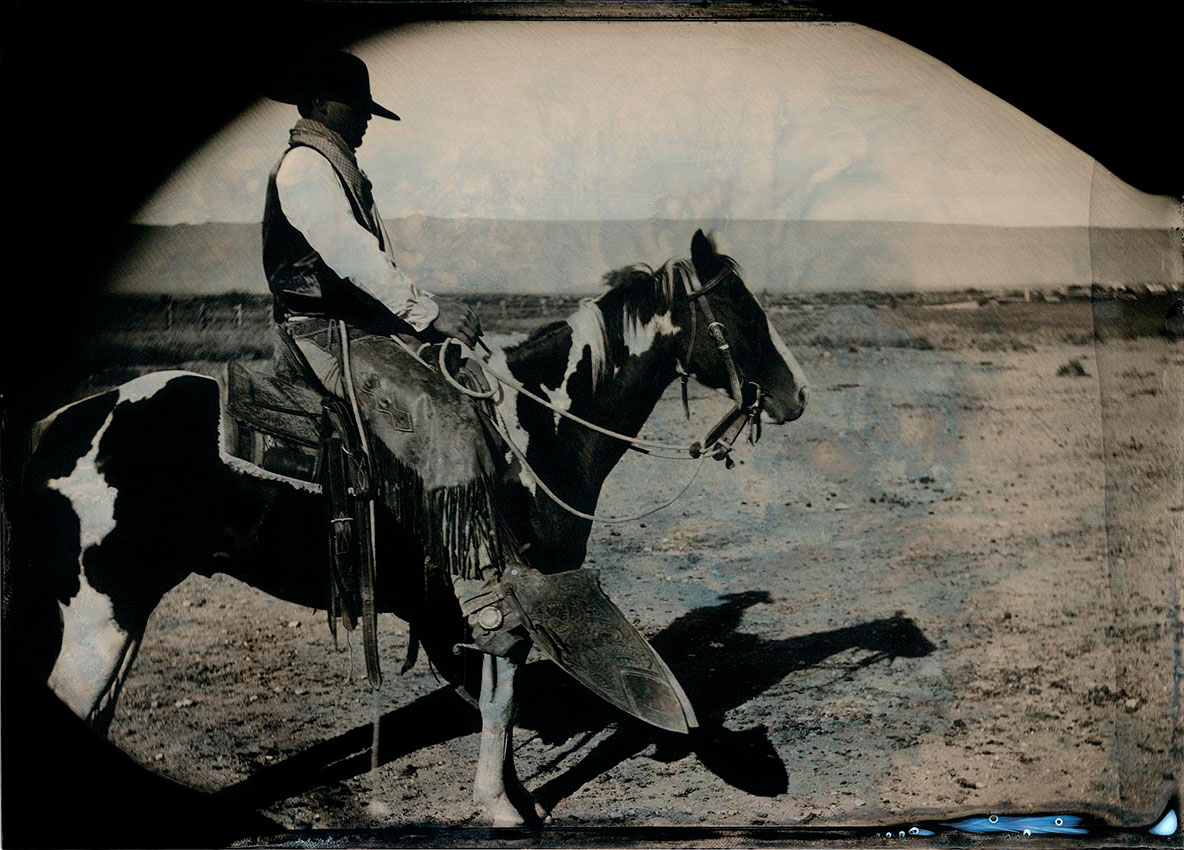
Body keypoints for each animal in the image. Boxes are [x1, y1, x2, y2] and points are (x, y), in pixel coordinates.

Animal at [8, 230, 808, 826]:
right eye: (738, 310)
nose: (796, 395)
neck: (538, 424)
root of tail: (58, 425)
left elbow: (491, 695)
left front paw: (514, 797)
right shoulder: (507, 600)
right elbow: (502, 697)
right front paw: (501, 807)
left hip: (125, 614)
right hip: (98, 614)